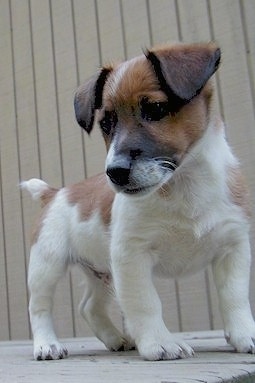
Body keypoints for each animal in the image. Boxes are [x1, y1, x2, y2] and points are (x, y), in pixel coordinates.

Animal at [22, 42, 255, 364]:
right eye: (106, 123)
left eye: (155, 109)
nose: (115, 172)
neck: (182, 186)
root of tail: (55, 192)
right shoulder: (131, 256)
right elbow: (146, 303)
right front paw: (160, 343)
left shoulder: (233, 247)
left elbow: (235, 297)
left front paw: (244, 334)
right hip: (47, 264)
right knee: (39, 307)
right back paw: (47, 345)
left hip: (102, 274)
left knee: (89, 307)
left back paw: (116, 339)